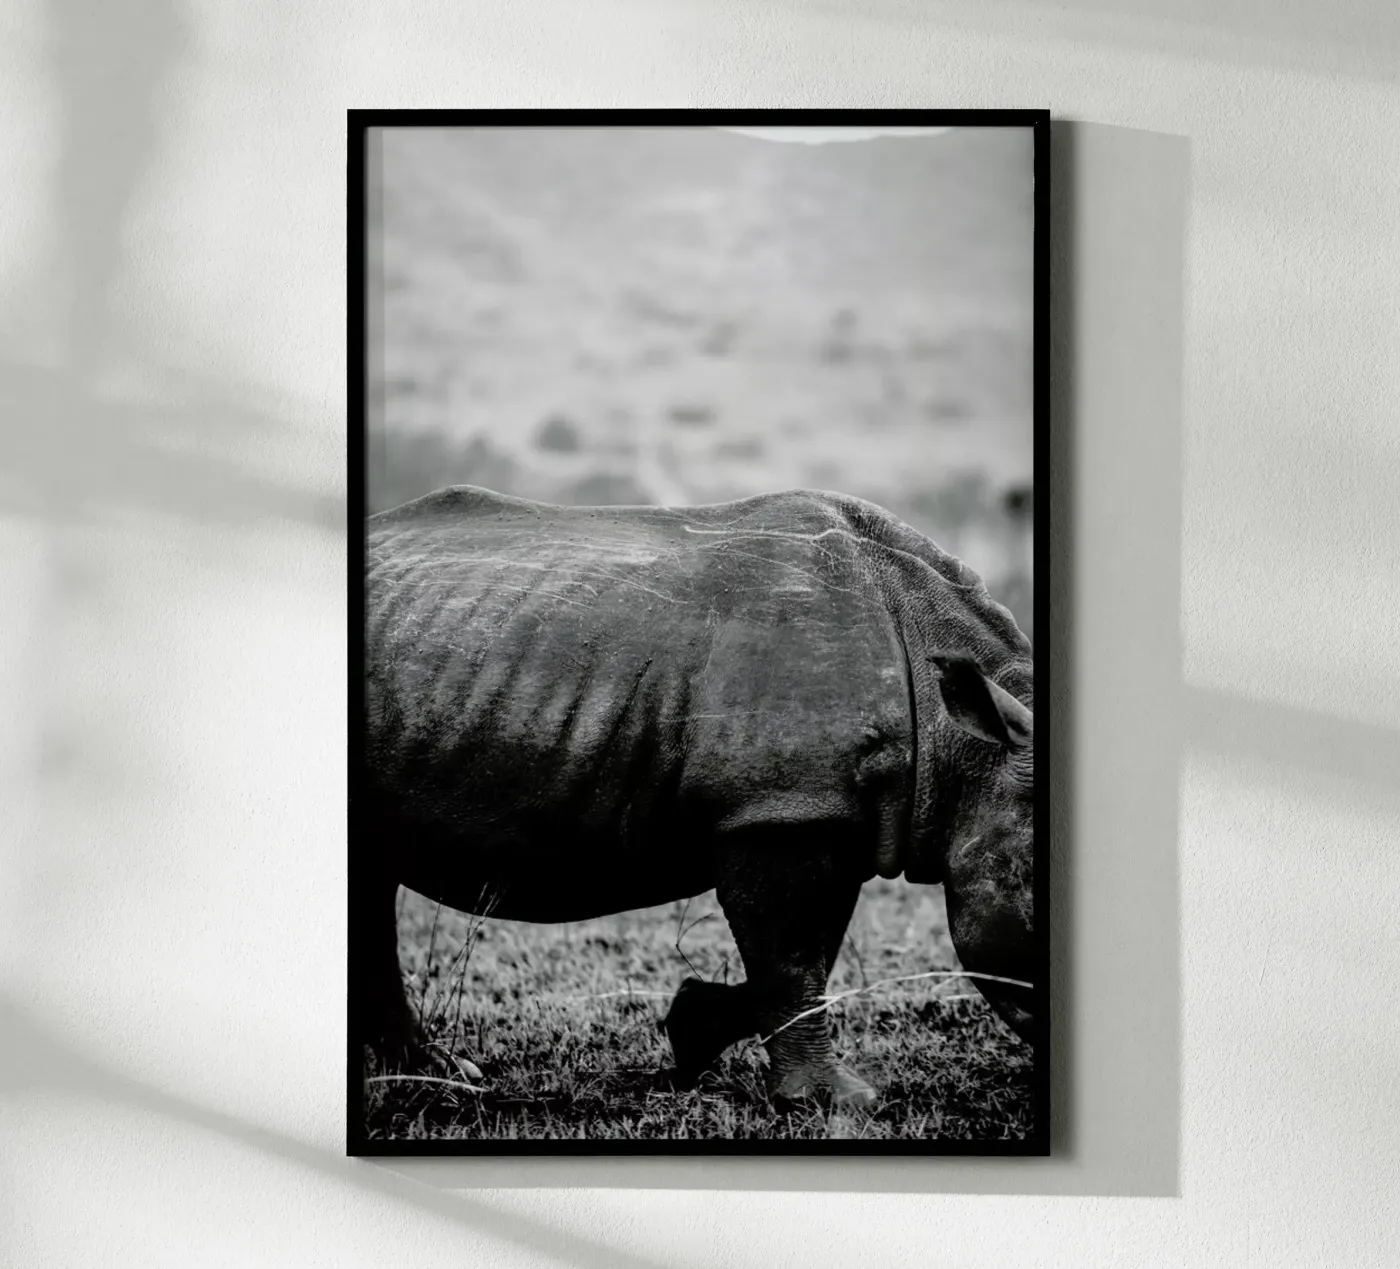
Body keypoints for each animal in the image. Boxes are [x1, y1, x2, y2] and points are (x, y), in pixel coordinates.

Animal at [359, 484, 1036, 1109]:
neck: (965, 747)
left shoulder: (825, 813)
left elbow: (814, 949)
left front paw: (693, 1032)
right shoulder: (776, 809)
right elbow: (792, 956)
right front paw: (834, 1100)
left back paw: (434, 1073)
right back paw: (437, 1076)